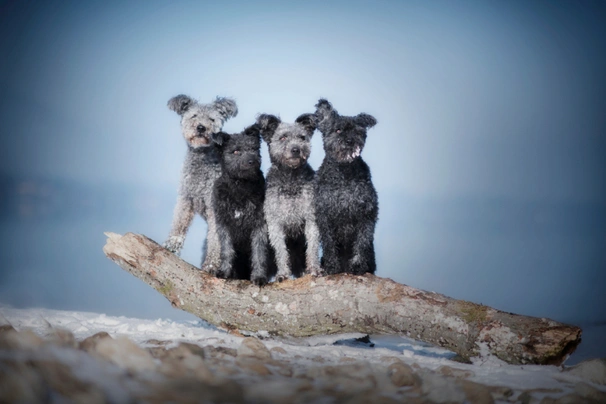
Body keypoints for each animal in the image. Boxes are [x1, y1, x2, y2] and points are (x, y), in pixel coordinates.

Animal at [164, 94, 240, 274]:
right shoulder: (186, 198)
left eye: (212, 119)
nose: (201, 128)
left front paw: (212, 265)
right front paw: (171, 244)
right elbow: (179, 221)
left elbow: (215, 240)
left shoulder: (215, 208)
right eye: (194, 116)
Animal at [214, 124, 270, 286]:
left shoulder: (259, 225)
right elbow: (227, 250)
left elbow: (259, 252)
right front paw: (224, 271)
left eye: (253, 148)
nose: (252, 161)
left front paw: (259, 276)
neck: (240, 188)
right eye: (236, 151)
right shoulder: (223, 224)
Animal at [256, 110, 324, 280]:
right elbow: (281, 251)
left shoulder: (311, 218)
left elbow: (312, 246)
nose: (296, 149)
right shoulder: (275, 223)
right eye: (283, 137)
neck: (290, 181)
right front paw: (283, 273)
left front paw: (314, 268)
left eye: (302, 137)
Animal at [314, 98, 380, 274]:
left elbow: (362, 242)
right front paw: (331, 266)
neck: (344, 174)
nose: (350, 141)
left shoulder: (366, 212)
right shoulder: (324, 213)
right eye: (337, 130)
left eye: (358, 131)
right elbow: (329, 243)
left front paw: (358, 266)